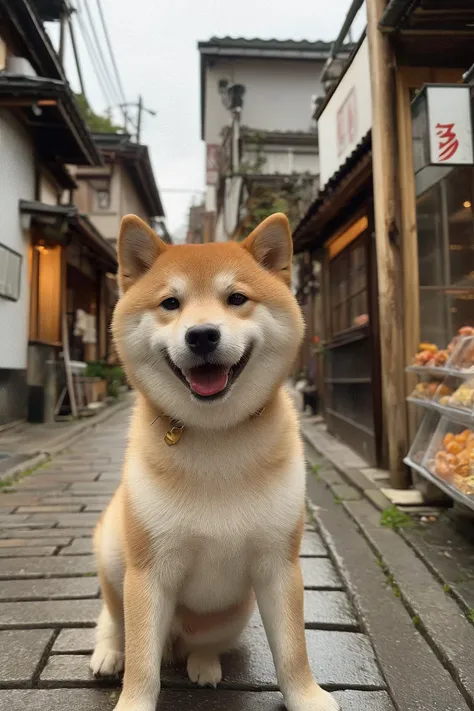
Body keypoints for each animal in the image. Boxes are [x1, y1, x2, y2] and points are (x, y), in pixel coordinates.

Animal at [90, 213, 340, 711]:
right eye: (170, 303)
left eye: (237, 298)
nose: (202, 334)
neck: (215, 436)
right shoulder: (149, 571)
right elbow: (142, 662)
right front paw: (132, 699)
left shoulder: (278, 564)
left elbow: (293, 649)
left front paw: (307, 697)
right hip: (112, 550)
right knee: (116, 620)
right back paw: (108, 652)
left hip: (232, 614)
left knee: (204, 643)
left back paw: (204, 664)